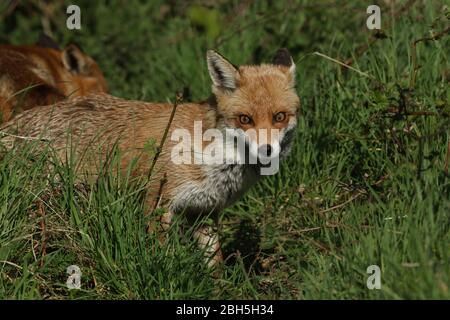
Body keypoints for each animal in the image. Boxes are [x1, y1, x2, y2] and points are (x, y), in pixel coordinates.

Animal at [0, 48, 302, 268]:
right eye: (245, 119)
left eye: (279, 117)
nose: (267, 151)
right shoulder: (155, 205)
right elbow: (163, 259)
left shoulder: (204, 212)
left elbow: (214, 264)